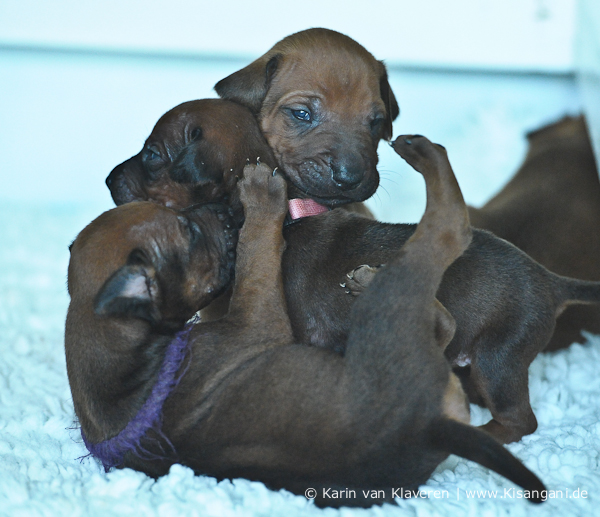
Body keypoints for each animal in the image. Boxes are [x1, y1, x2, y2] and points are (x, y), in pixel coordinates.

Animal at [68, 136, 545, 507]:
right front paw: (262, 198)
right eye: (190, 232)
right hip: (407, 312)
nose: (221, 212)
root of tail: (429, 428)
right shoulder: (259, 317)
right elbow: (258, 251)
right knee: (447, 243)